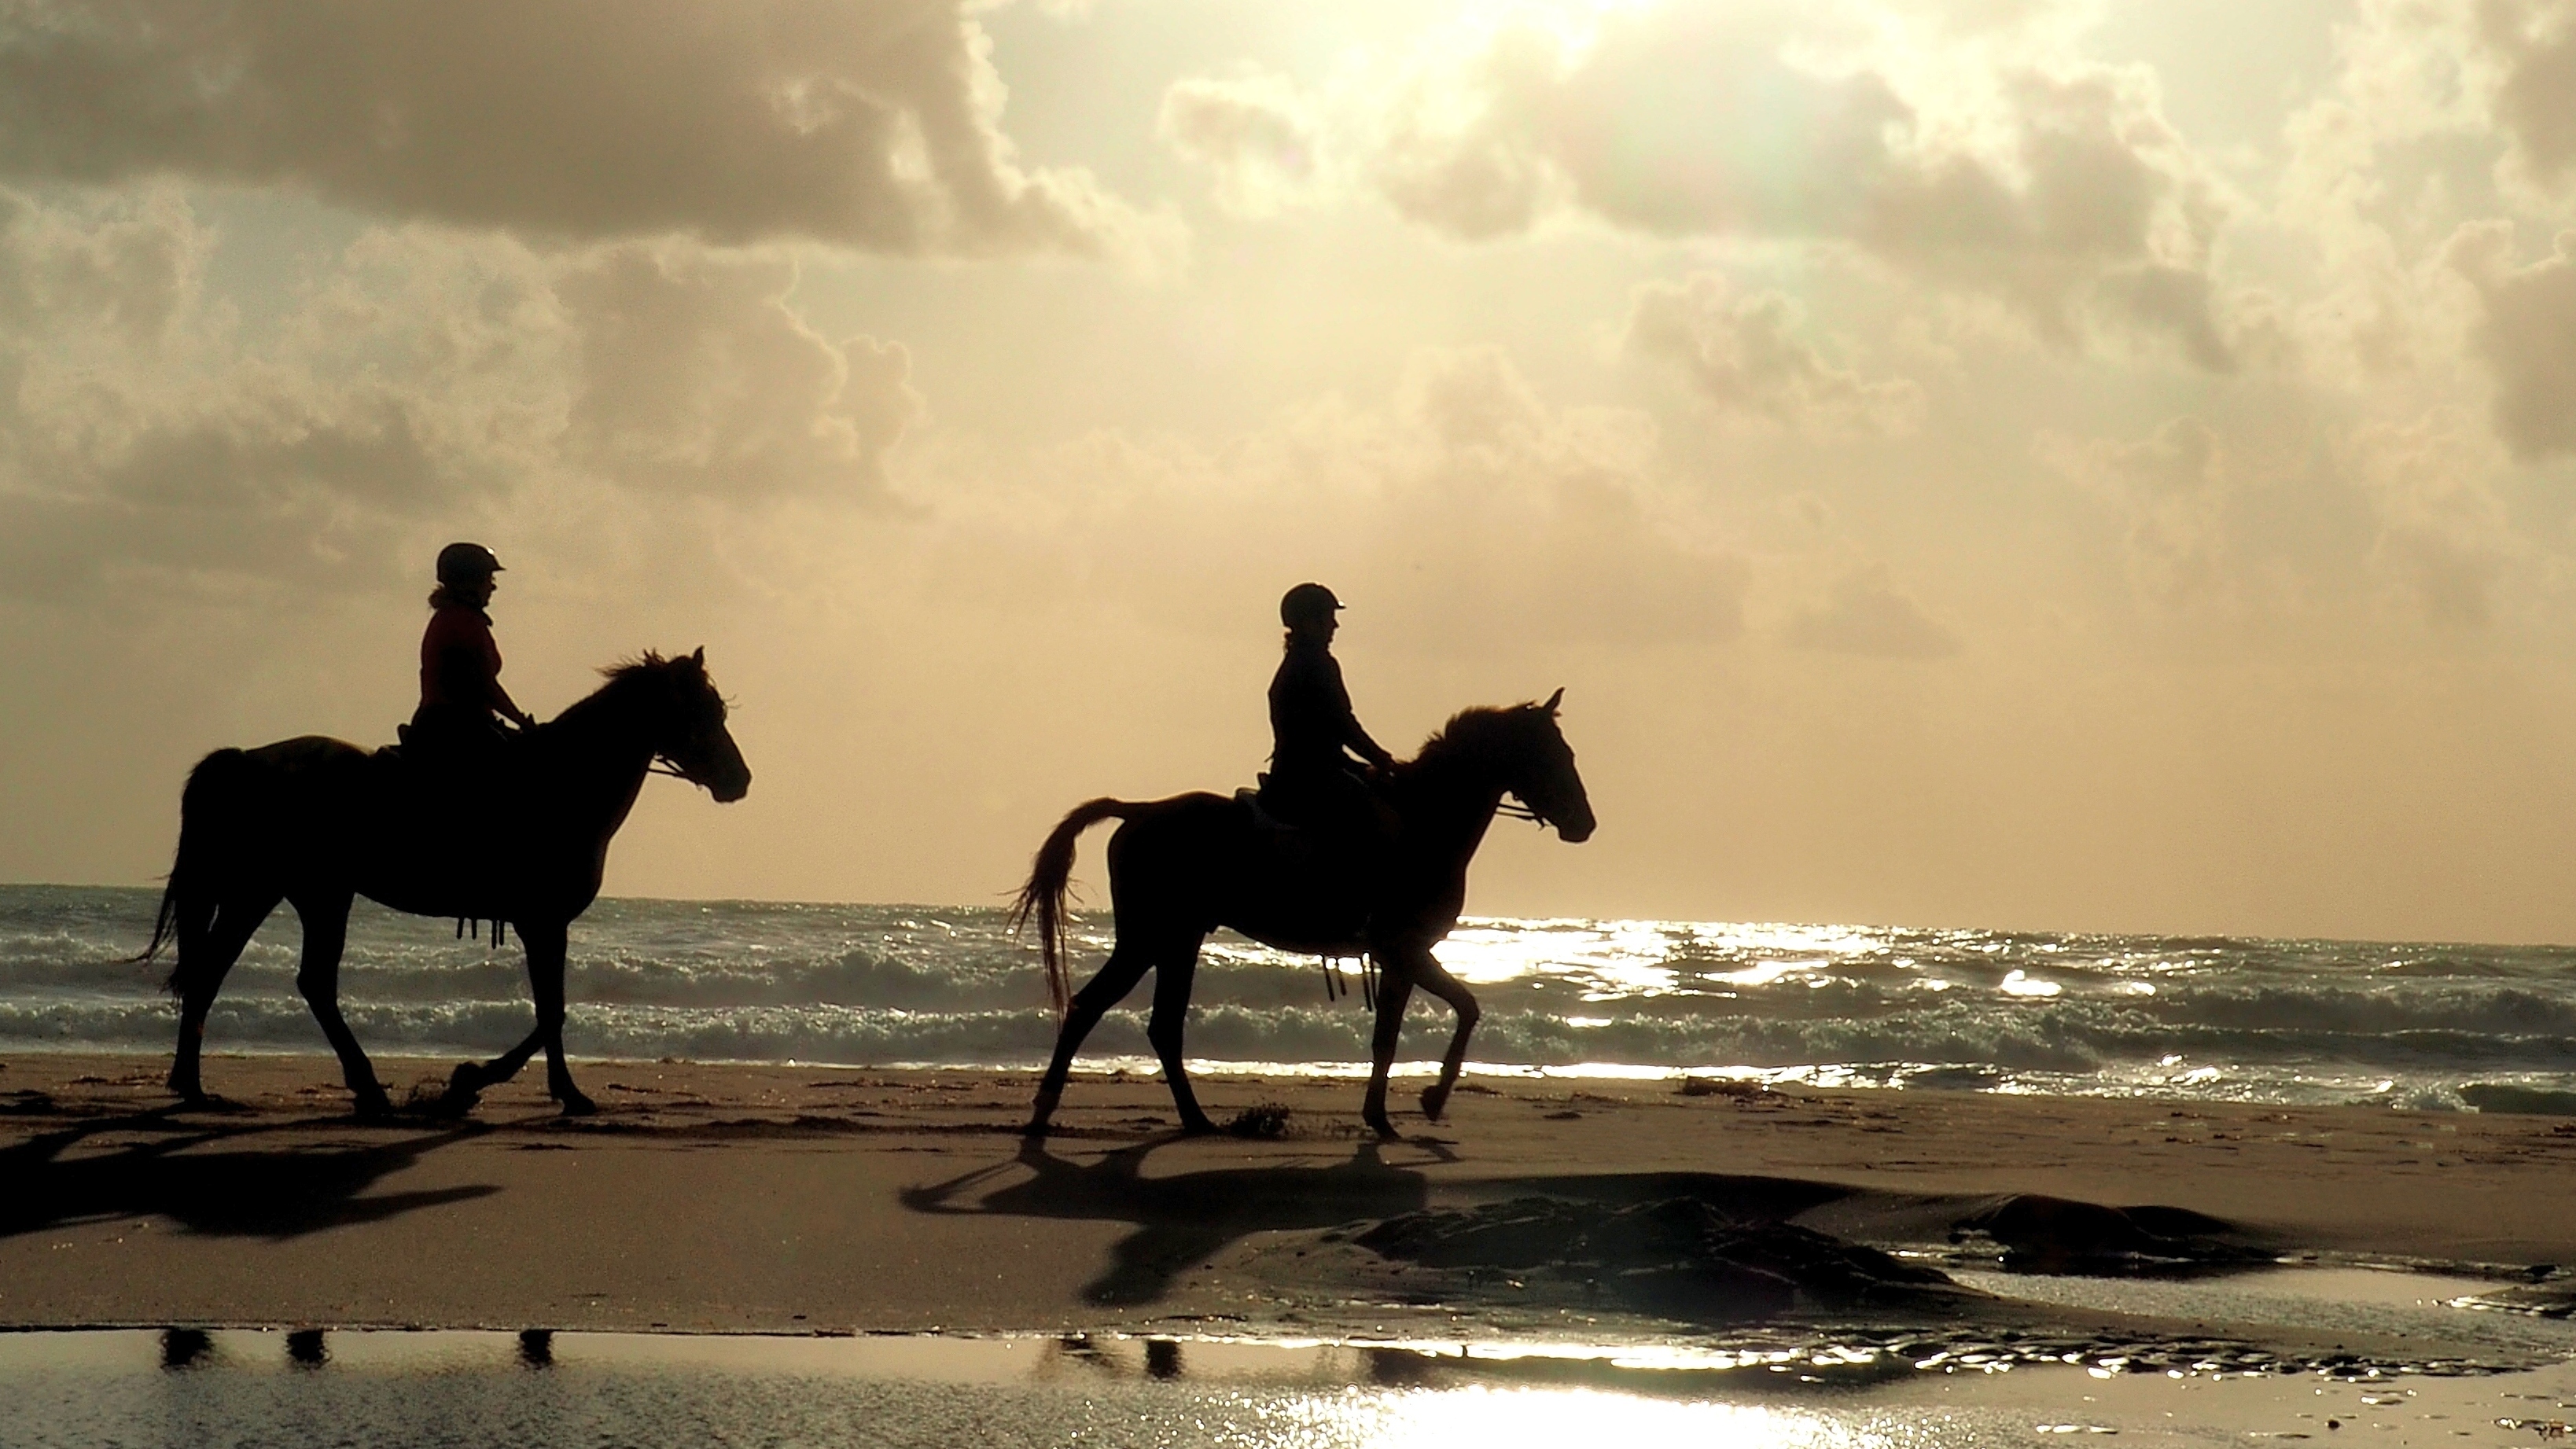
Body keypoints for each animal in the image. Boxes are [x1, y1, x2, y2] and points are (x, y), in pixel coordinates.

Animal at [134, 648, 752, 1122]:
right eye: (701, 711)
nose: (740, 779)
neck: (563, 783)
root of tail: (245, 759)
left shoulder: (545, 924)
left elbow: (551, 1008)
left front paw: (555, 1091)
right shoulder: (541, 920)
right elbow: (551, 1011)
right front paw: (473, 1081)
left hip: (284, 892)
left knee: (234, 976)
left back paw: (200, 1085)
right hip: (298, 891)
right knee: (283, 979)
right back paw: (352, 1087)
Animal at [1004, 690, 1587, 1147]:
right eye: (1553, 754)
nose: (1586, 824)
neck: (1425, 823)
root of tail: (1140, 810)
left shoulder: (1399, 956)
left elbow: (1393, 1033)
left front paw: (1382, 1116)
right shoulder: (1403, 947)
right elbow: (1461, 1009)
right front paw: (1429, 1100)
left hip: (1178, 940)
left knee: (1161, 1025)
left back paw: (1194, 1119)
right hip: (1149, 938)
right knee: (1092, 1008)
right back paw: (1046, 1110)